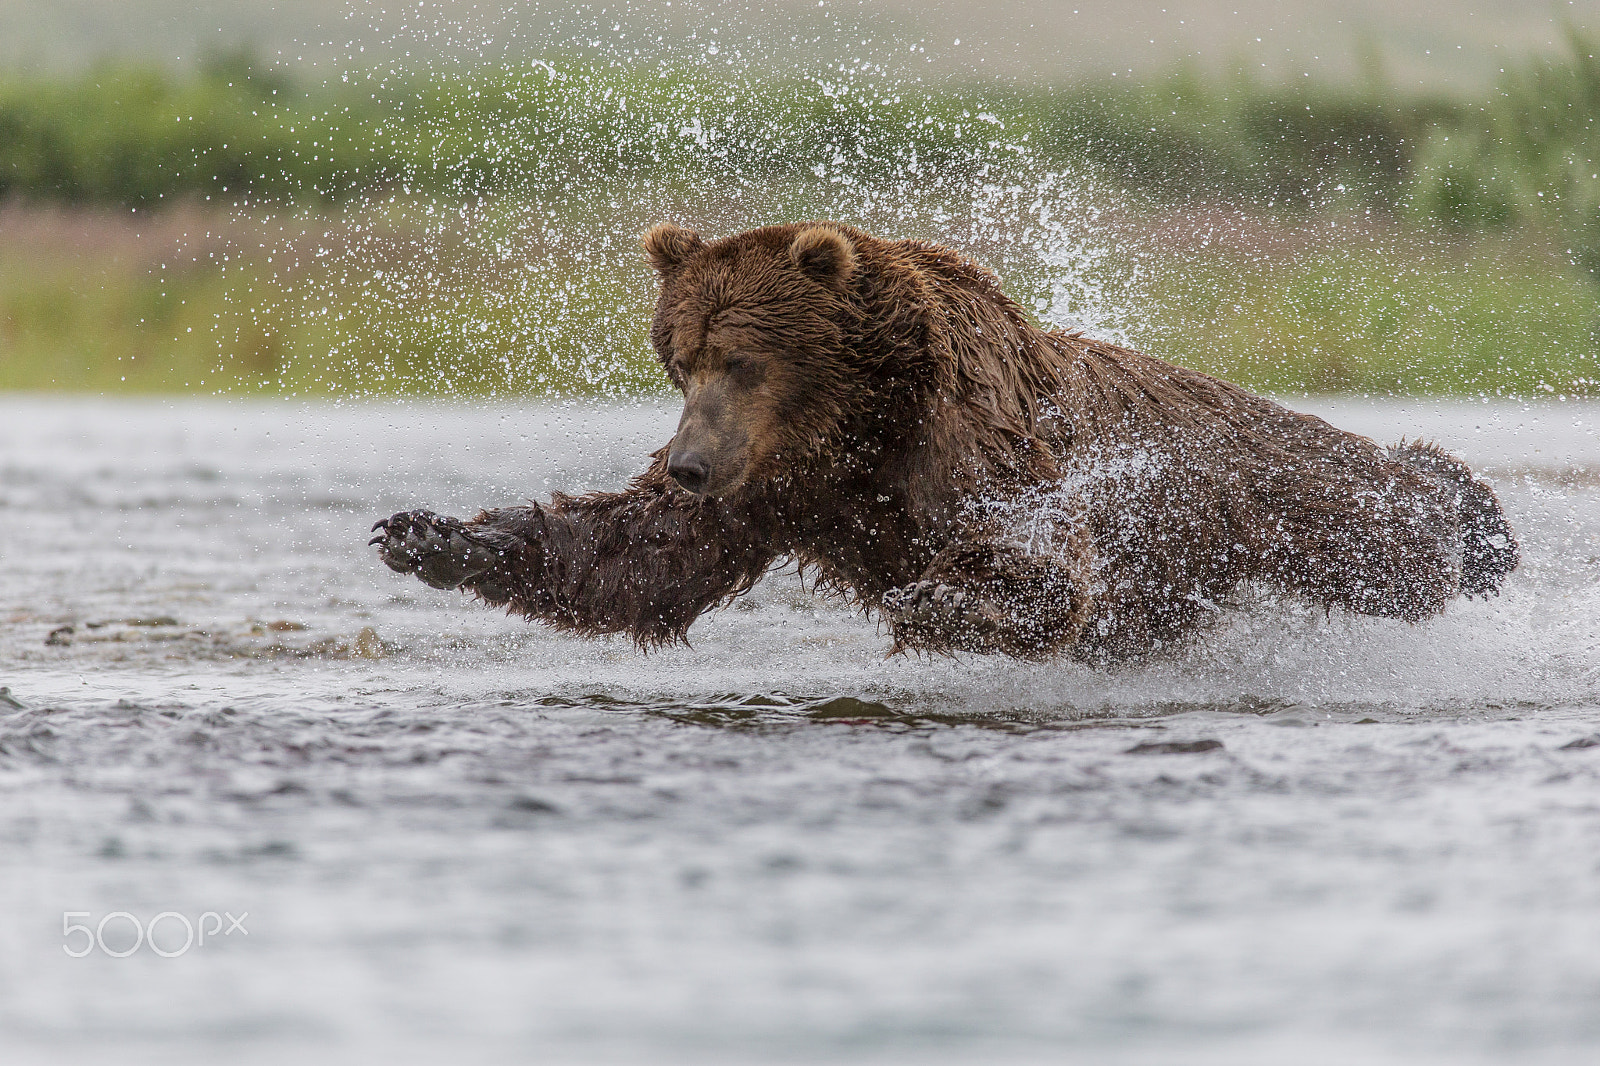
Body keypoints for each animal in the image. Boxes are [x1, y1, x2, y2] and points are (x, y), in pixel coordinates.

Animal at [371, 221, 1518, 662]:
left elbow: (1032, 552)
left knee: (1388, 531)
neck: (852, 420)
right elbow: (640, 558)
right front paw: (430, 534)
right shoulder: (779, 483)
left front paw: (942, 598)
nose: (690, 464)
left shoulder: (967, 419)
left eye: (739, 358)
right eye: (678, 357)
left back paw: (1471, 512)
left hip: (1273, 487)